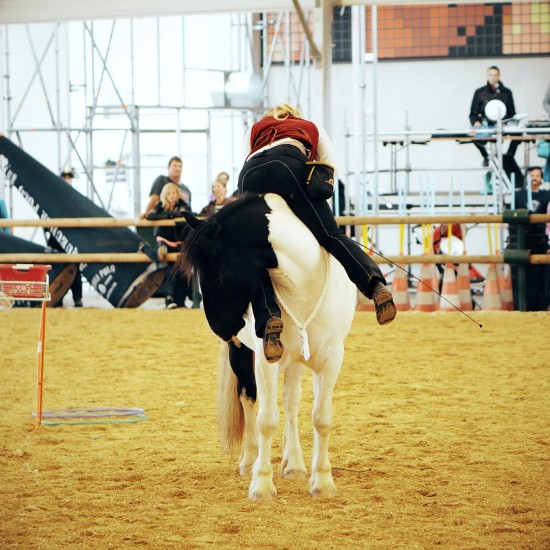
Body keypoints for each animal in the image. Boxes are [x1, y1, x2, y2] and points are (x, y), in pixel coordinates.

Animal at [178, 194, 358, 500]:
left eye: (215, 272)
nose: (222, 329)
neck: (303, 286)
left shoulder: (332, 359)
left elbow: (321, 418)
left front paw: (323, 481)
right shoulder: (265, 360)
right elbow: (266, 420)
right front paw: (261, 484)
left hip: (295, 360)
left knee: (291, 400)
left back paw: (294, 464)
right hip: (242, 353)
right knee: (248, 397)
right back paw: (250, 461)